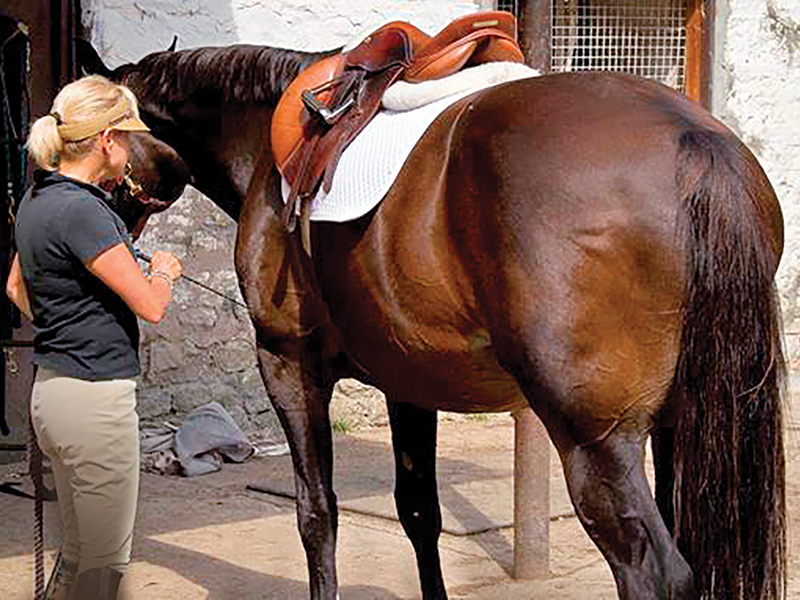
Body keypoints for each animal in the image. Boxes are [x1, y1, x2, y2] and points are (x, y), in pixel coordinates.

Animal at [78, 37, 786, 600]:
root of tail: (693, 140)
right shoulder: (406, 382)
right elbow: (419, 512)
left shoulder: (287, 363)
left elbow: (317, 514)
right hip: (679, 425)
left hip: (597, 443)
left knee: (655, 572)